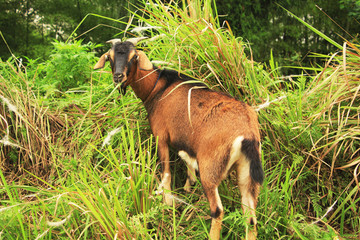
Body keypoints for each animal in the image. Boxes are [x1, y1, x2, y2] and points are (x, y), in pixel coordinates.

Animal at [94, 37, 264, 240]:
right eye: (110, 57)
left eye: (134, 56)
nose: (118, 76)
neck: (158, 88)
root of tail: (247, 134)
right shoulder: (185, 145)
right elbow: (189, 169)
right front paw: (187, 189)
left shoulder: (161, 136)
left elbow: (166, 172)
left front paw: (167, 203)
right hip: (247, 174)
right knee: (251, 218)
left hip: (210, 168)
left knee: (218, 210)